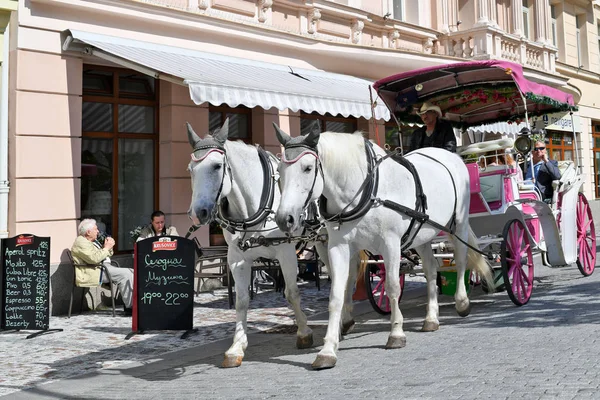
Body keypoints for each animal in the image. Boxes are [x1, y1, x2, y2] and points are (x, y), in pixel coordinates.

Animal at [185, 119, 356, 368]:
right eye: (190, 169)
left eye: (217, 166)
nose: (198, 213)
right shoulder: (236, 259)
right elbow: (242, 301)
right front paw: (236, 347)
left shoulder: (286, 252)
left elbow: (291, 292)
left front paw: (304, 333)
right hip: (322, 243)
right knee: (337, 277)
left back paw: (345, 320)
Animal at [274, 126, 490, 370]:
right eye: (279, 170)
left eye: (308, 168)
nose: (284, 219)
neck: (365, 191)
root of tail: (450, 156)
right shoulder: (338, 247)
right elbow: (336, 295)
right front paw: (328, 349)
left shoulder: (391, 244)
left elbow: (393, 287)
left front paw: (396, 333)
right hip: (423, 235)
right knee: (431, 270)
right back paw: (431, 318)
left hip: (459, 224)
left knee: (461, 260)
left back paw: (462, 302)